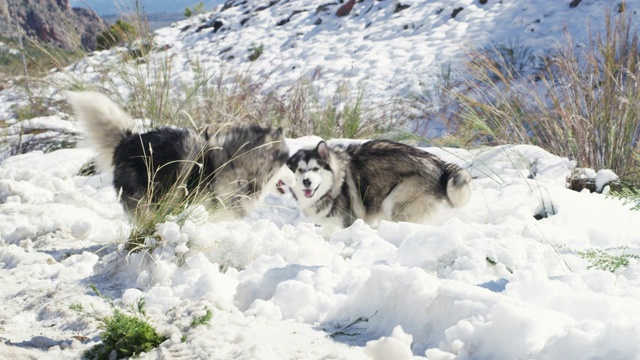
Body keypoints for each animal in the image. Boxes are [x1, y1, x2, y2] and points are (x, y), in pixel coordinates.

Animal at [282, 139, 472, 235]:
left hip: (393, 202)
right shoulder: (330, 225)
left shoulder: (348, 222)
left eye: (316, 169)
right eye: (300, 170)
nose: (307, 181)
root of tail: (439, 163)